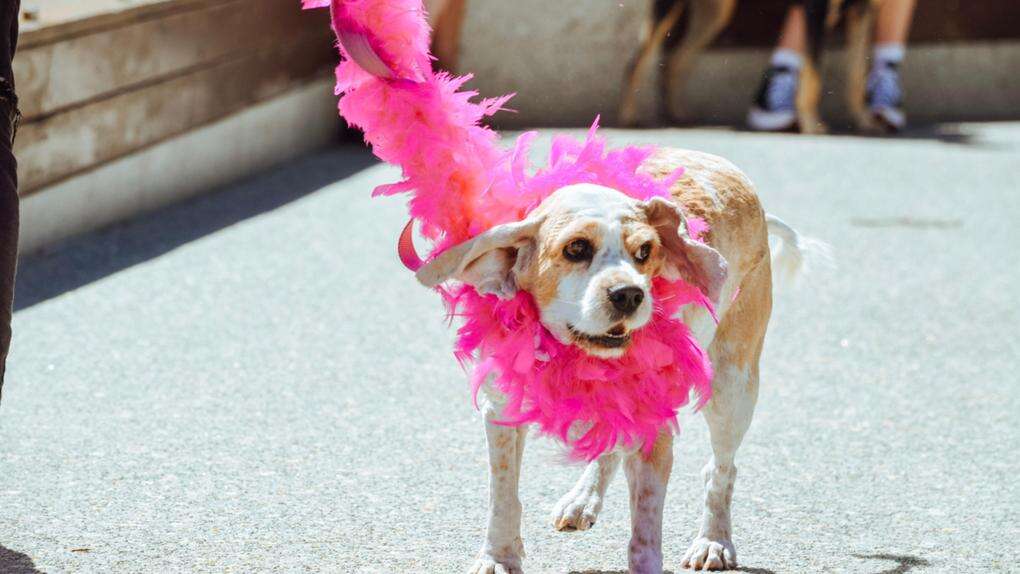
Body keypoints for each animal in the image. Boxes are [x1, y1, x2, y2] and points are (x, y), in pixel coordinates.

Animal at [414, 145, 820, 570]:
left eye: (645, 251)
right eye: (576, 248)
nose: (629, 294)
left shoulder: (654, 433)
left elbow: (645, 531)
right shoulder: (501, 413)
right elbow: (503, 497)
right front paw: (499, 557)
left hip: (732, 391)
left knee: (720, 470)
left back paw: (714, 540)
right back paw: (583, 499)